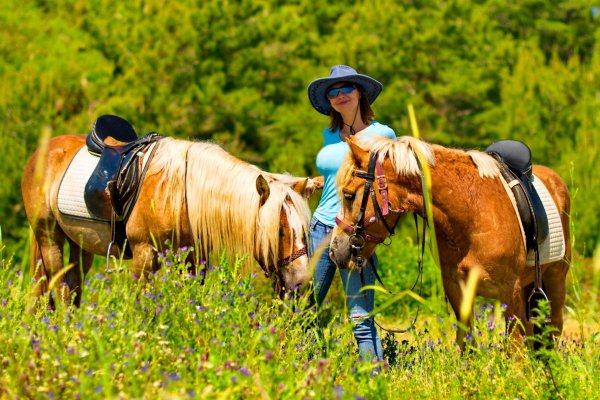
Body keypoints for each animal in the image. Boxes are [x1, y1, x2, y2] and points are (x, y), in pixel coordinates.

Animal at [20, 133, 316, 308]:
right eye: (279, 231)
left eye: (303, 230)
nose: (301, 282)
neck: (181, 193)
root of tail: (41, 152)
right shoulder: (144, 255)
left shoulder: (195, 258)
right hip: (49, 237)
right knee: (59, 289)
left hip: (80, 245)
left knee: (72, 288)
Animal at [330, 135, 568, 350]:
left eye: (348, 195)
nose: (335, 251)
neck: (473, 213)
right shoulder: (457, 289)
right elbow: (466, 344)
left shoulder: (511, 291)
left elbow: (516, 349)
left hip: (555, 279)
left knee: (553, 330)